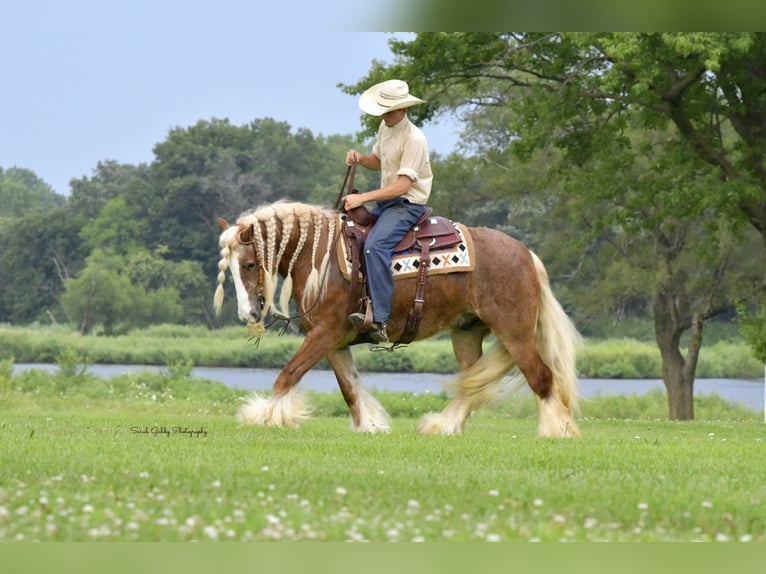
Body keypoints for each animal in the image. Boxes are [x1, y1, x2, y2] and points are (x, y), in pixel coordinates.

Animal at [214, 200, 581, 437]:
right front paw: (369, 425)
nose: (248, 313)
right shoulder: (334, 341)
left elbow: (288, 375)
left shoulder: (324, 333)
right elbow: (349, 387)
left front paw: (264, 415)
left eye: (249, 264)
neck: (320, 257)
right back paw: (443, 426)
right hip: (466, 332)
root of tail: (526, 254)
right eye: (229, 268)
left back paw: (556, 430)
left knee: (541, 377)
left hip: (515, 332)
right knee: (471, 384)